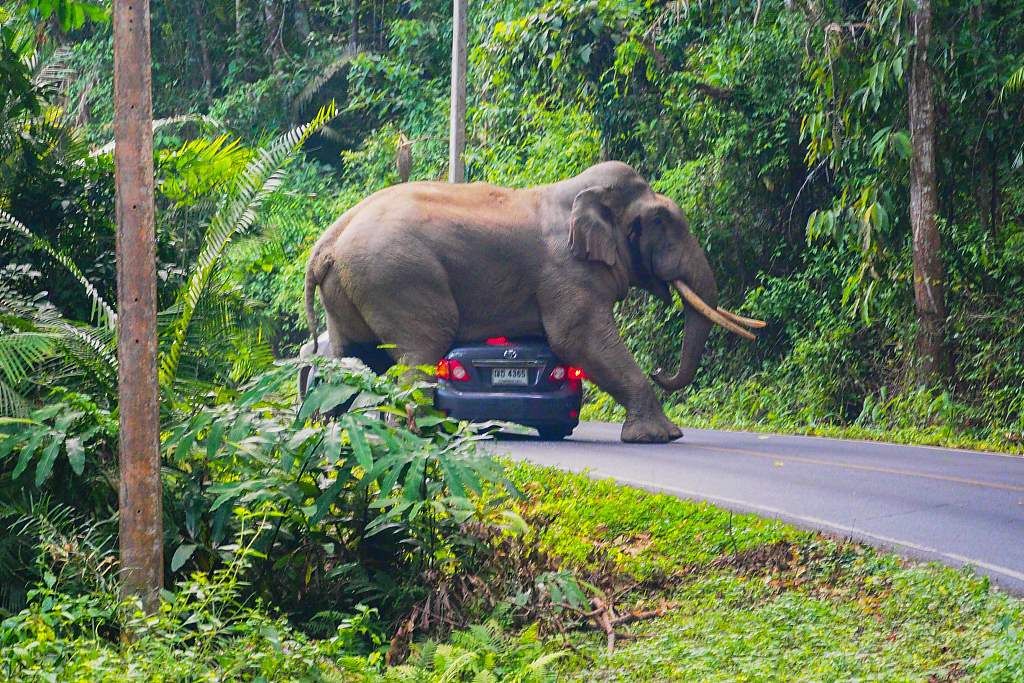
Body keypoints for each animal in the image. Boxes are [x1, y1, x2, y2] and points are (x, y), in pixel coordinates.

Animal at [303, 160, 761, 444]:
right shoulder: (567, 272)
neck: (579, 191)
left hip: (352, 290)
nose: (661, 371)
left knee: (355, 357)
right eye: (663, 222)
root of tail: (325, 243)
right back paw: (416, 435)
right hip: (398, 279)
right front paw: (662, 437)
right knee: (420, 350)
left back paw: (330, 432)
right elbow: (578, 339)